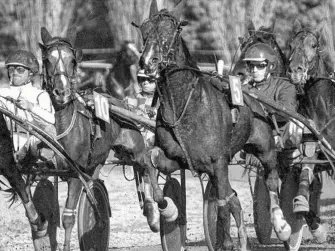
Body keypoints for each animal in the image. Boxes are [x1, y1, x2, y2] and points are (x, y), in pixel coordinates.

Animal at [38, 27, 158, 251]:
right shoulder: (56, 169)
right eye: (47, 59)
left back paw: (156, 207)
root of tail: (121, 104)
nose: (61, 92)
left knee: (147, 165)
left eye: (72, 61)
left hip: (135, 147)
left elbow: (68, 216)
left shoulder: (76, 174)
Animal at [138, 0, 292, 250]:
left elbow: (221, 205)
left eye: (171, 31)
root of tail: (254, 97)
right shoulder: (178, 159)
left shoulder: (218, 162)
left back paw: (281, 226)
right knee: (233, 199)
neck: (185, 107)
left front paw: (227, 241)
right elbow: (148, 159)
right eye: (144, 30)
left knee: (269, 179)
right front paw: (166, 210)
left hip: (265, 147)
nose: (147, 62)